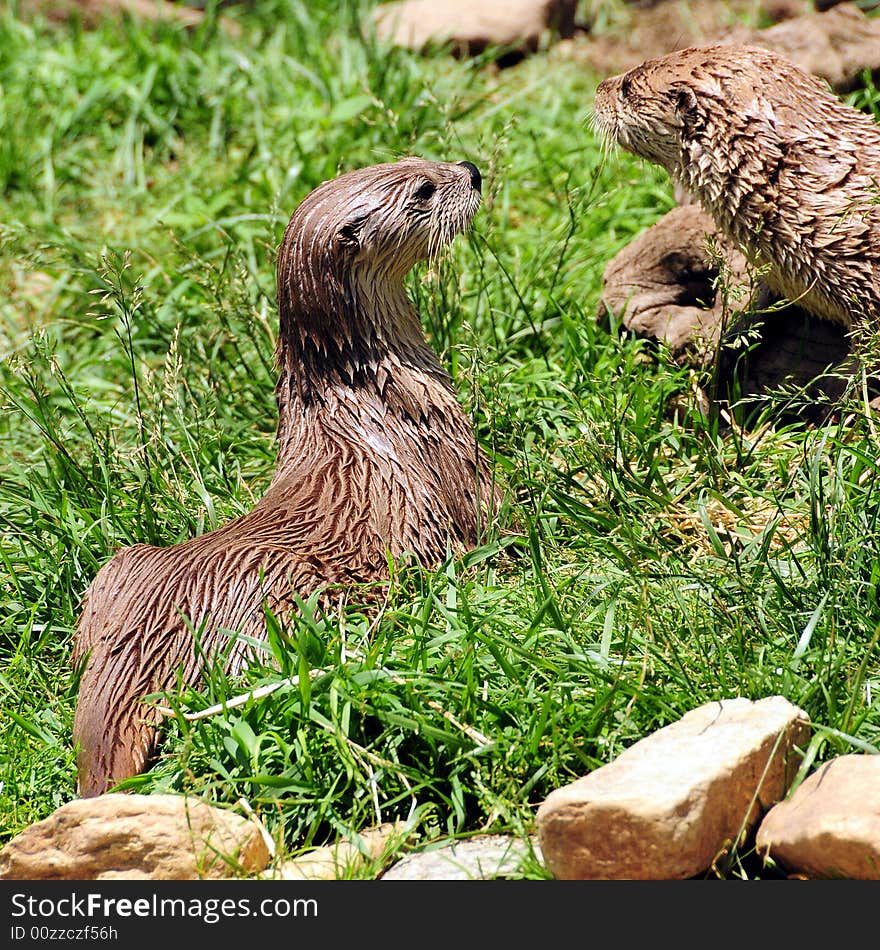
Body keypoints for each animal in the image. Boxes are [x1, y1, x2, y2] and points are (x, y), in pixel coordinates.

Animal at [72, 156, 498, 796]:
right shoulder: (458, 462)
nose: (470, 171)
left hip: (119, 569)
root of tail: (157, 626)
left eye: (415, 157)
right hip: (293, 595)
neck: (366, 386)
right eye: (423, 190)